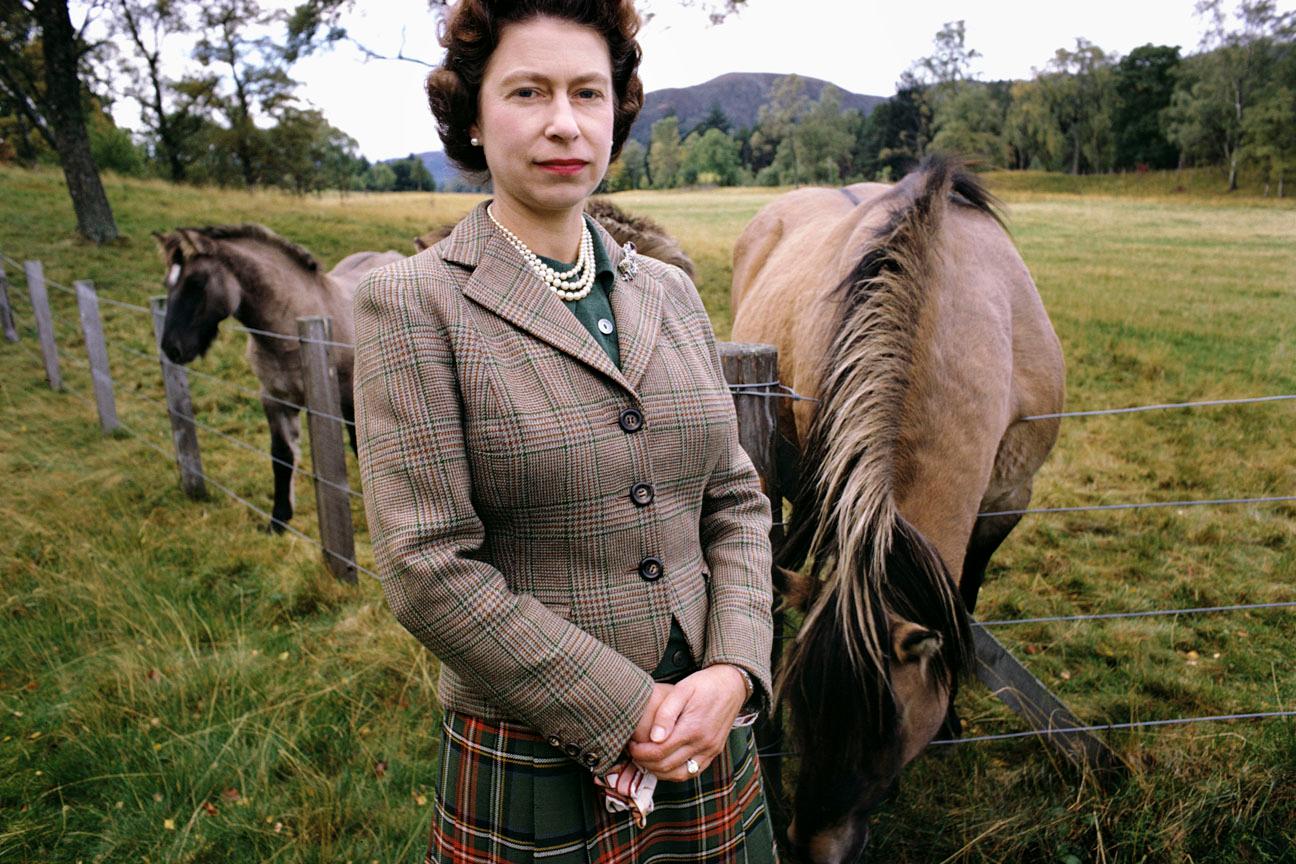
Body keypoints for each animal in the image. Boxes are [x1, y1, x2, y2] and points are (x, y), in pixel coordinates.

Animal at [149, 226, 399, 531]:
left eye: (196, 282)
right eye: (167, 283)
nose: (171, 348)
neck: (291, 327)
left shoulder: (347, 402)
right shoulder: (275, 399)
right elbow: (281, 457)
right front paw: (279, 520)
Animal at [730, 157, 1062, 864]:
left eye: (886, 731)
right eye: (802, 709)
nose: (812, 850)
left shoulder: (1007, 503)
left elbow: (963, 602)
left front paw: (953, 722)